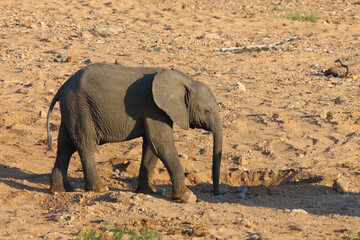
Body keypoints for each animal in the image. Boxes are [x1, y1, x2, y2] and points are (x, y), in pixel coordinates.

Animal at [46, 62, 222, 200]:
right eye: (207, 111)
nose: (216, 193)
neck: (184, 80)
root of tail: (64, 85)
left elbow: (151, 147)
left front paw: (148, 191)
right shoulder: (153, 106)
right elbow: (161, 143)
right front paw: (185, 196)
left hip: (72, 108)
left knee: (65, 146)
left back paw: (61, 190)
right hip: (81, 107)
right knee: (85, 145)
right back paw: (99, 189)